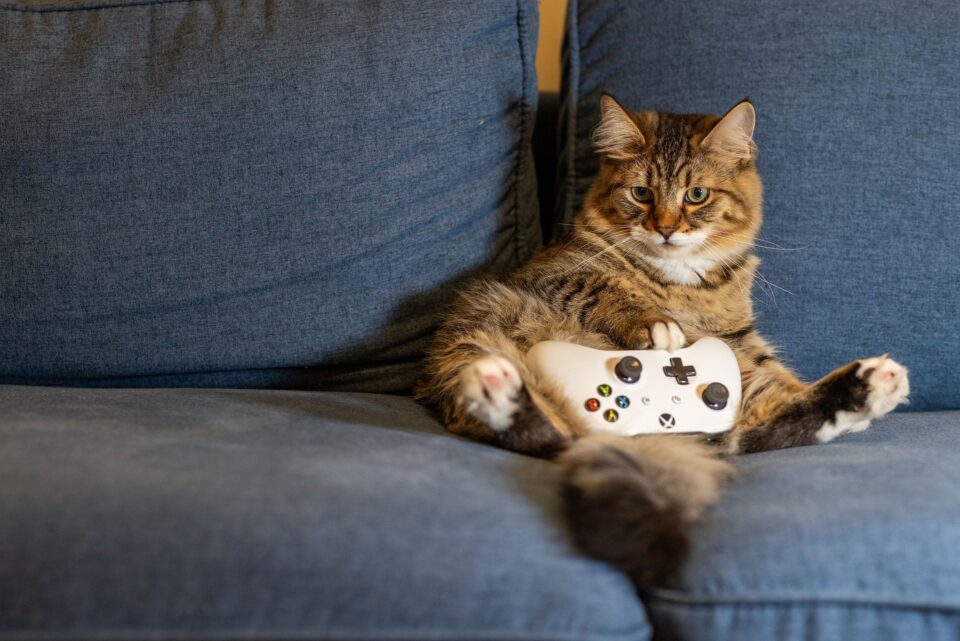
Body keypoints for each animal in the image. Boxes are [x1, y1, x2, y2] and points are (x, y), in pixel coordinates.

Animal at [414, 96, 908, 584]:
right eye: (641, 194)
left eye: (696, 195)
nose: (666, 228)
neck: (684, 283)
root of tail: (639, 433)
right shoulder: (556, 275)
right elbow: (608, 290)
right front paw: (657, 325)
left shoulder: (738, 341)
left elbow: (779, 376)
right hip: (475, 339)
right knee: (535, 434)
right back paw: (495, 387)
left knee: (759, 431)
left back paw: (869, 389)